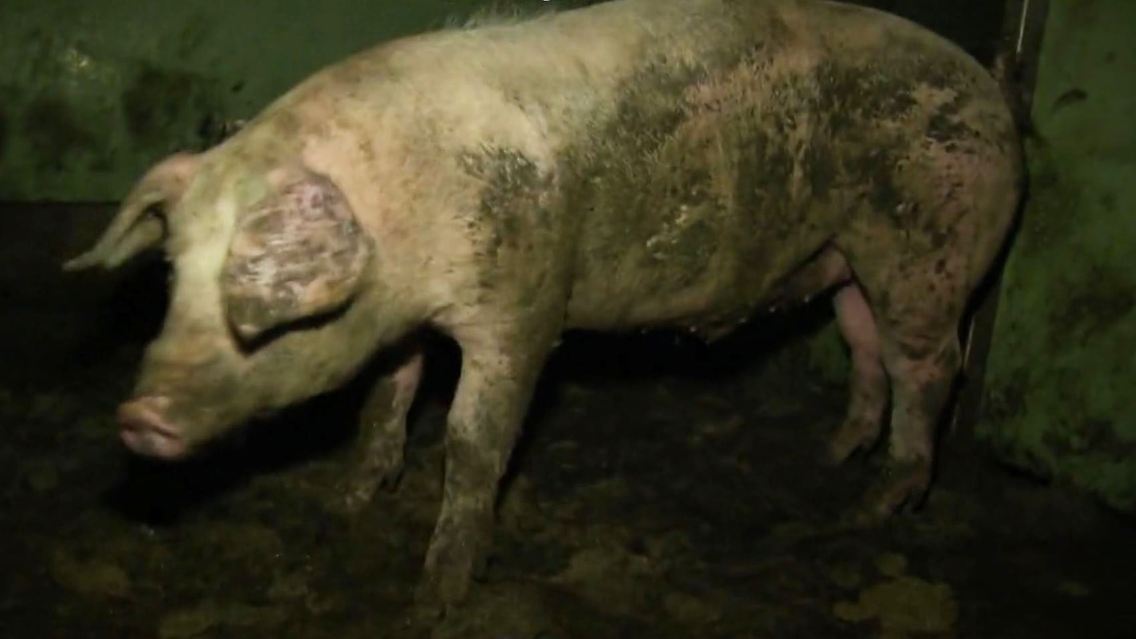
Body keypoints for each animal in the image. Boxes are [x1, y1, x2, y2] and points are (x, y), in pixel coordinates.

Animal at [65, 0, 1022, 610]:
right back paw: (830, 458)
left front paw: (439, 594)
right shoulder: (405, 320)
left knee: (931, 367)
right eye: (173, 276)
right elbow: (387, 396)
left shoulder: (521, 311)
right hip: (852, 259)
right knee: (868, 350)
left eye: (263, 303)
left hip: (929, 246)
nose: (138, 416)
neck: (403, 224)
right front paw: (349, 501)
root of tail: (992, 85)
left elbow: (472, 440)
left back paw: (872, 508)